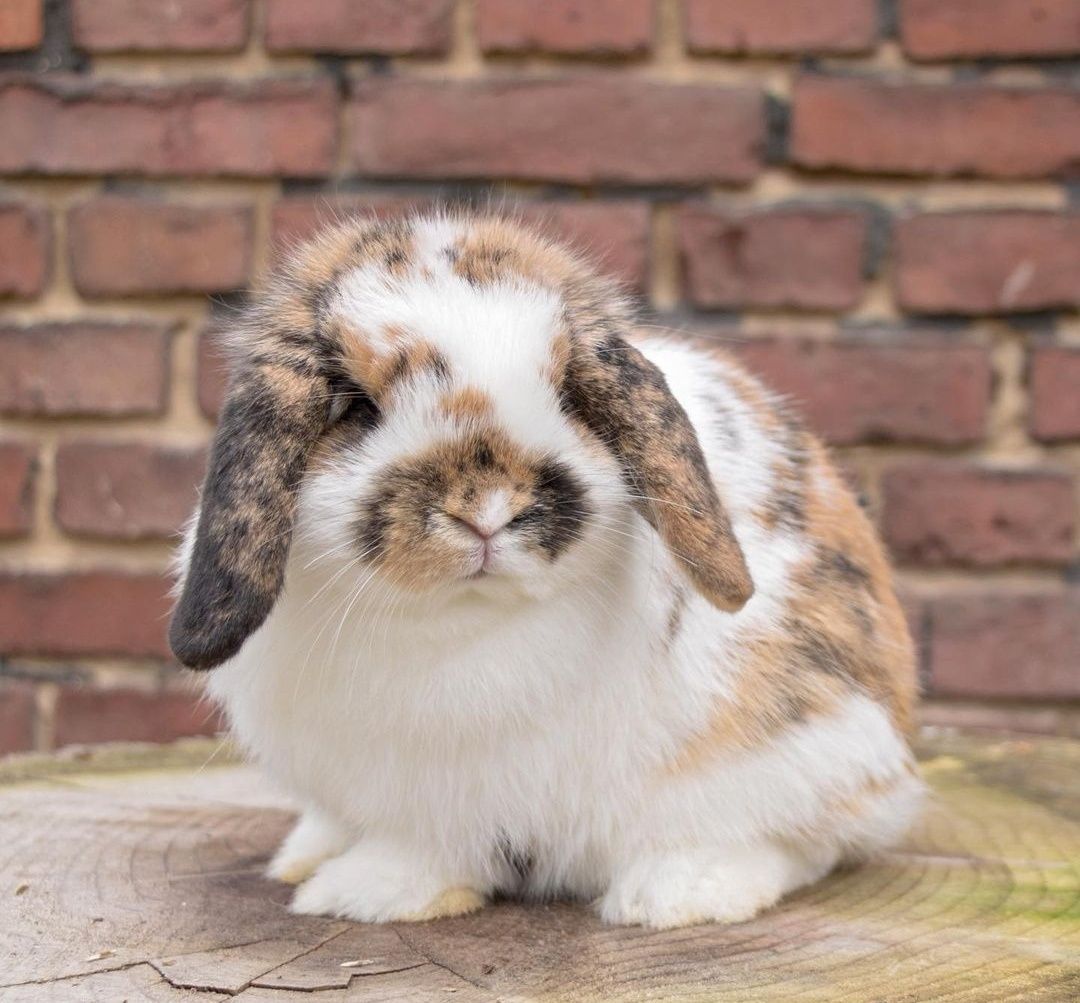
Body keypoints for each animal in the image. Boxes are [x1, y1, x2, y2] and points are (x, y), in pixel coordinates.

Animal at [170, 211, 920, 932]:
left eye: (566, 396)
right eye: (356, 404)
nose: (488, 509)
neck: (456, 615)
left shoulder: (452, 794)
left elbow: (423, 848)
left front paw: (362, 894)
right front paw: (328, 872)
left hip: (795, 747)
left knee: (790, 842)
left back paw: (675, 895)